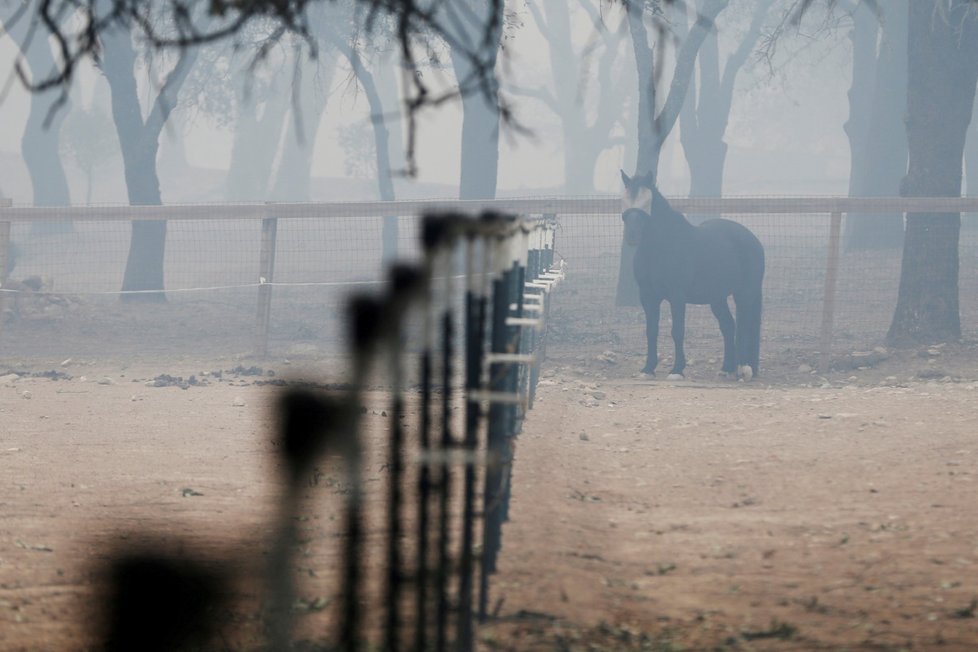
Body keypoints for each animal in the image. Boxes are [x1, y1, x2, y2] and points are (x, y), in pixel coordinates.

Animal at [620, 171, 768, 380]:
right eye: (624, 201)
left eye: (647, 202)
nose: (632, 235)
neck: (661, 247)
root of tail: (753, 240)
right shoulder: (648, 296)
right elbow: (651, 331)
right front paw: (648, 368)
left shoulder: (677, 296)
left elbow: (677, 331)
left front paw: (677, 370)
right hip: (717, 298)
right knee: (728, 326)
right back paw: (727, 367)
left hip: (745, 294)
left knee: (745, 325)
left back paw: (745, 368)